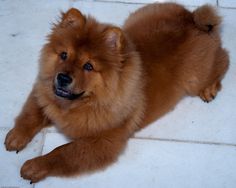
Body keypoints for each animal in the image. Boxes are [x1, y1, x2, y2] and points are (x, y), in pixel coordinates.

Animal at [4, 2, 229, 182]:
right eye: (64, 55)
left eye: (88, 66)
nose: (63, 78)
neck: (79, 104)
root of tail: (192, 18)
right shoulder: (44, 92)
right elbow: (31, 113)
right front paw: (16, 136)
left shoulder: (104, 142)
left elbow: (63, 152)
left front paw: (34, 166)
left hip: (195, 78)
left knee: (224, 59)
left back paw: (209, 90)